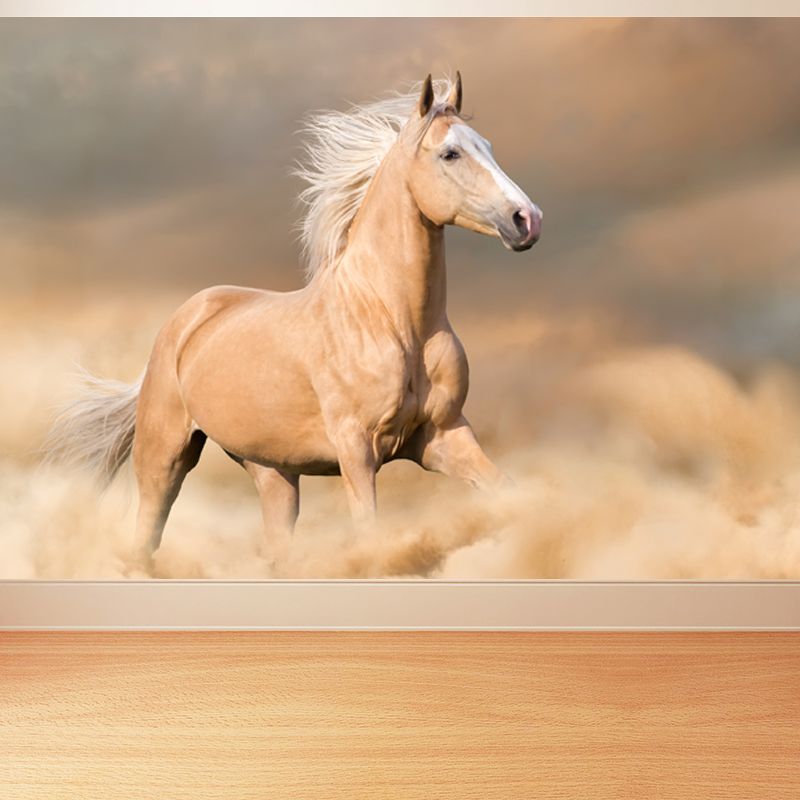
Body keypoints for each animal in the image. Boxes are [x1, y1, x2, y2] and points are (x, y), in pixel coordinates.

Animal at [46, 73, 542, 573]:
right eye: (450, 153)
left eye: (487, 146)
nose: (527, 219)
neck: (394, 322)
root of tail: (186, 320)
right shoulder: (357, 449)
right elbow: (370, 533)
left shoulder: (443, 437)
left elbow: (508, 495)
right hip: (164, 456)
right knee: (146, 535)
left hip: (272, 471)